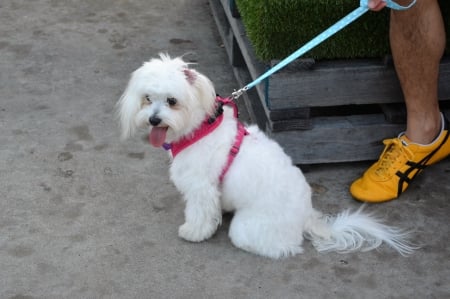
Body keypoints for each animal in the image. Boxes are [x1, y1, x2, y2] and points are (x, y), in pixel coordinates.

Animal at [117, 54, 414, 260]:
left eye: (172, 101)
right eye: (147, 98)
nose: (154, 119)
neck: (199, 128)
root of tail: (305, 216)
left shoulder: (201, 188)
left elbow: (200, 214)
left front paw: (194, 232)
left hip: (247, 229)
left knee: (287, 248)